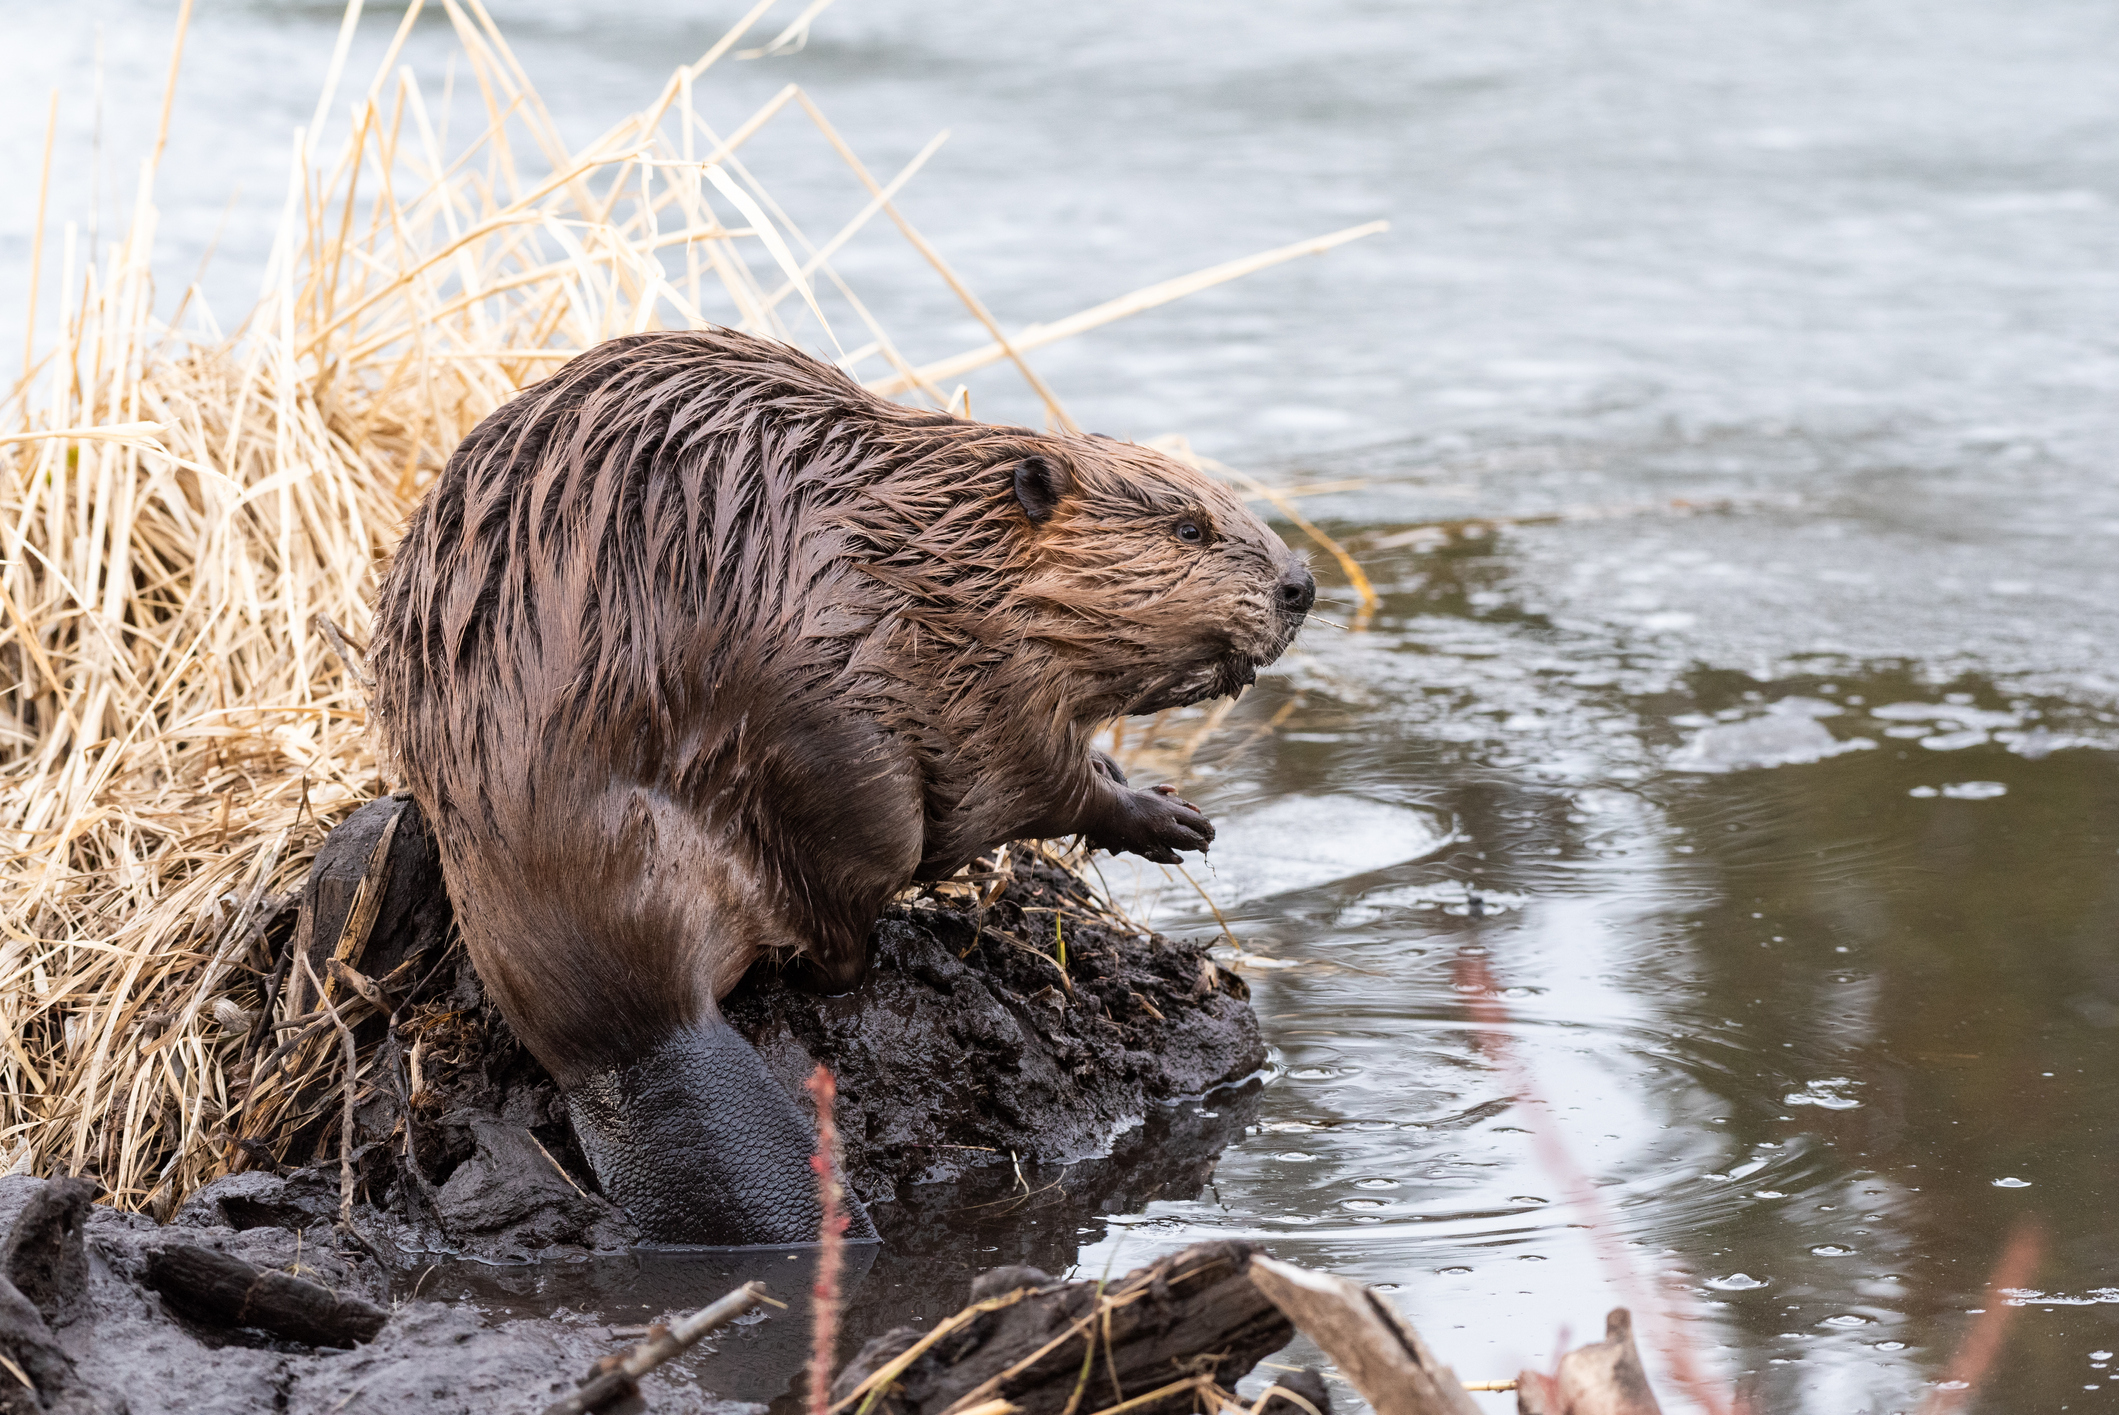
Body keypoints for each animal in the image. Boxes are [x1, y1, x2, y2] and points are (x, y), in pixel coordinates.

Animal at [372, 328, 1313, 1237]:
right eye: (1188, 528)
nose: (1300, 583)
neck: (940, 546)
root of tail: (634, 1042)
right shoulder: (984, 685)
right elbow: (1033, 782)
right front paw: (1169, 818)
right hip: (843, 768)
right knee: (837, 932)